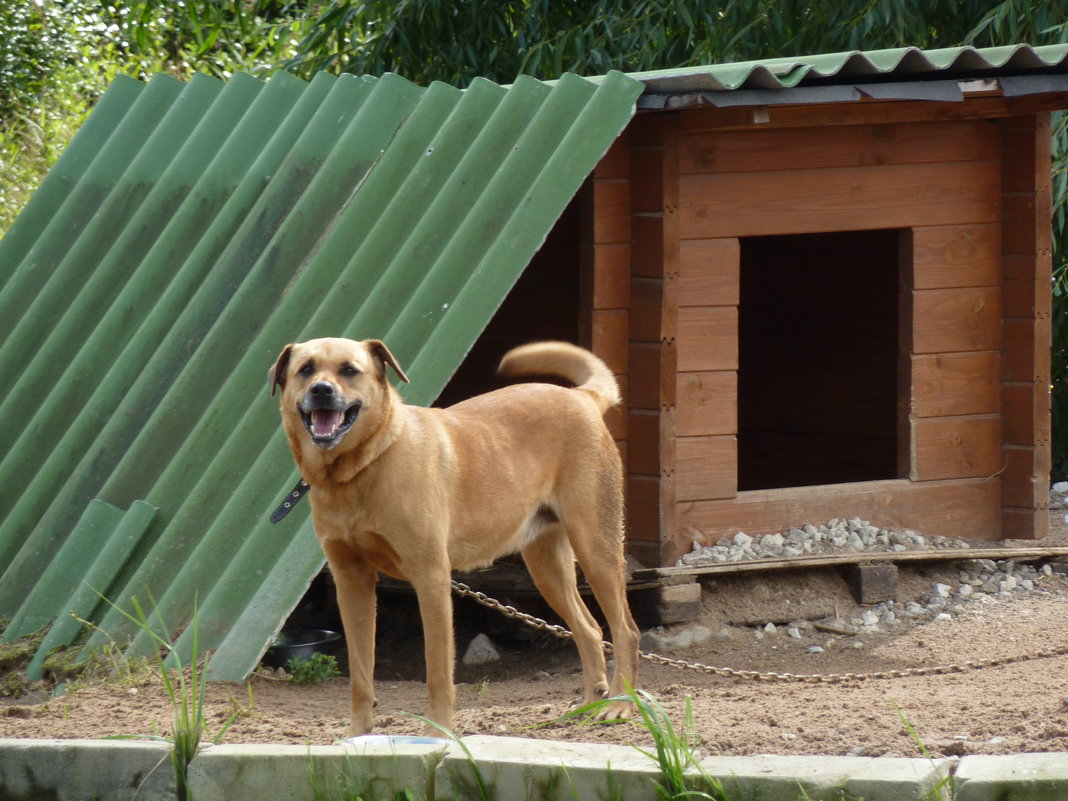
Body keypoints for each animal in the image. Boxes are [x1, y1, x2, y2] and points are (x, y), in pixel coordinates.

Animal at [271, 335, 636, 739]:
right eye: (306, 369)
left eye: (349, 370)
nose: (321, 390)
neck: (362, 468)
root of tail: (581, 397)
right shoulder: (352, 583)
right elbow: (360, 675)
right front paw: (358, 736)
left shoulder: (430, 578)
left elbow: (437, 671)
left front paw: (438, 734)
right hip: (548, 568)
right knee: (589, 629)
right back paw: (588, 705)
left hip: (596, 549)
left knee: (625, 631)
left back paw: (618, 705)